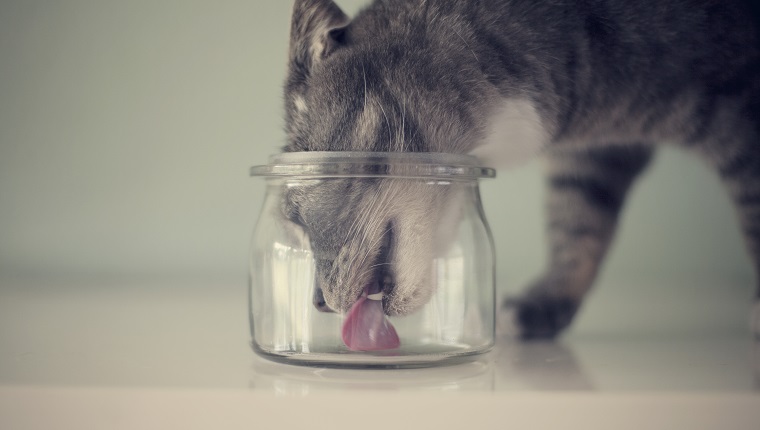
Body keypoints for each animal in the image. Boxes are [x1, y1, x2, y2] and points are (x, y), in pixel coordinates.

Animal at [280, 0, 760, 340]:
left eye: (297, 210)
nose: (317, 303)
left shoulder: (742, 115)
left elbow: (752, 211)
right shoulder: (593, 156)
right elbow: (576, 225)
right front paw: (542, 307)